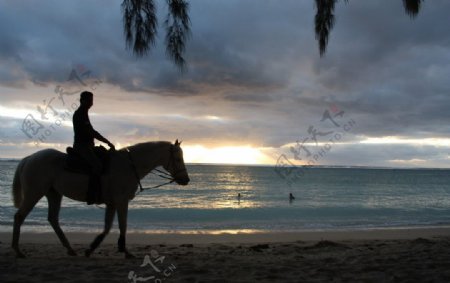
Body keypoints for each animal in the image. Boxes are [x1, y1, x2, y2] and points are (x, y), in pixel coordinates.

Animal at [11, 141, 189, 258]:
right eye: (178, 159)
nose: (186, 180)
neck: (128, 166)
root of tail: (29, 158)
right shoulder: (121, 201)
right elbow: (122, 225)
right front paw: (125, 251)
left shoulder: (111, 203)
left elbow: (107, 227)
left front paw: (92, 248)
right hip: (34, 193)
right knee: (19, 217)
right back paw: (17, 250)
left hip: (54, 194)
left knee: (53, 219)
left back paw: (70, 249)